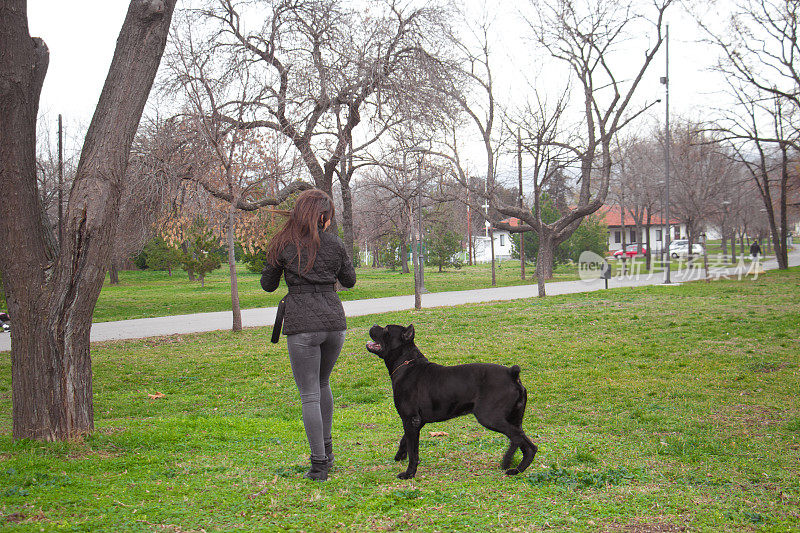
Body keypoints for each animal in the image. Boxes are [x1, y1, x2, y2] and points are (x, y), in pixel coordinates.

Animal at [368, 324, 536, 478]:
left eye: (386, 330)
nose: (374, 325)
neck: (407, 363)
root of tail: (512, 374)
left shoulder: (410, 420)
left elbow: (413, 449)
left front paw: (409, 473)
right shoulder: (417, 421)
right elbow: (405, 440)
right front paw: (400, 455)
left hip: (490, 417)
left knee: (525, 443)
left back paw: (516, 469)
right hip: (514, 418)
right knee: (517, 439)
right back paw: (508, 462)